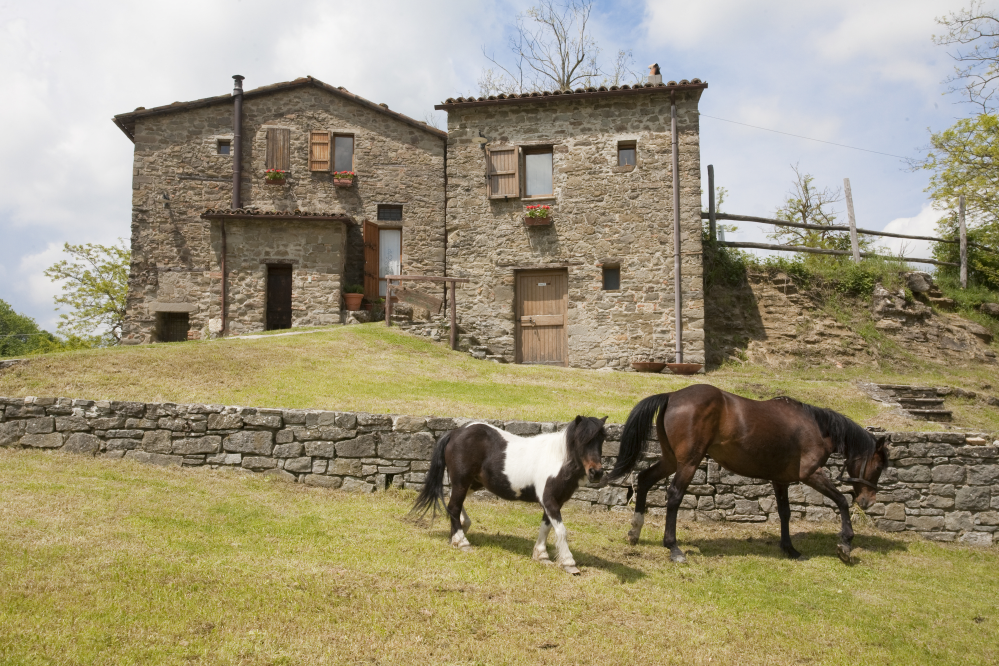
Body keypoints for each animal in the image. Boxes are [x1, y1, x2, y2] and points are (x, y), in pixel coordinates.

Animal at [408, 416, 608, 572]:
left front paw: (541, 555)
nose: (596, 473)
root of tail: (456, 432)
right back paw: (462, 541)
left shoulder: (553, 503)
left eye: (602, 439)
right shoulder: (550, 501)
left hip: (471, 483)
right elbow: (561, 530)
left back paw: (459, 533)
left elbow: (546, 527)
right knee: (454, 507)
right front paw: (568, 562)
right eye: (582, 439)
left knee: (454, 504)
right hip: (462, 481)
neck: (557, 460)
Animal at [608, 384, 884, 560]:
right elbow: (842, 502)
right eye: (880, 466)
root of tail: (673, 396)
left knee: (644, 480)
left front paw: (789, 549)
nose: (868, 501)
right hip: (688, 462)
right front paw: (845, 544)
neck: (814, 427)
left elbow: (785, 513)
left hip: (671, 460)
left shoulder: (780, 480)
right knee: (674, 496)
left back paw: (634, 532)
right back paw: (673, 548)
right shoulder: (811, 474)